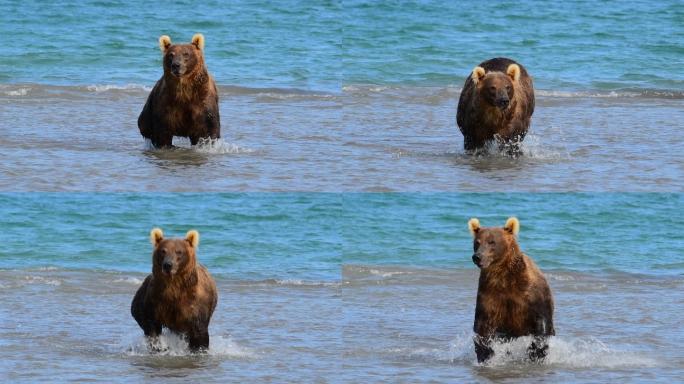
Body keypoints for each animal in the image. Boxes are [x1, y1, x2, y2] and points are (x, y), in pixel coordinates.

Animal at [468, 218, 552, 362]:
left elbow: (540, 324)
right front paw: (485, 354)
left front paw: (537, 352)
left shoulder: (530, 295)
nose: (477, 257)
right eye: (477, 242)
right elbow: (482, 326)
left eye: (492, 241)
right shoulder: (489, 295)